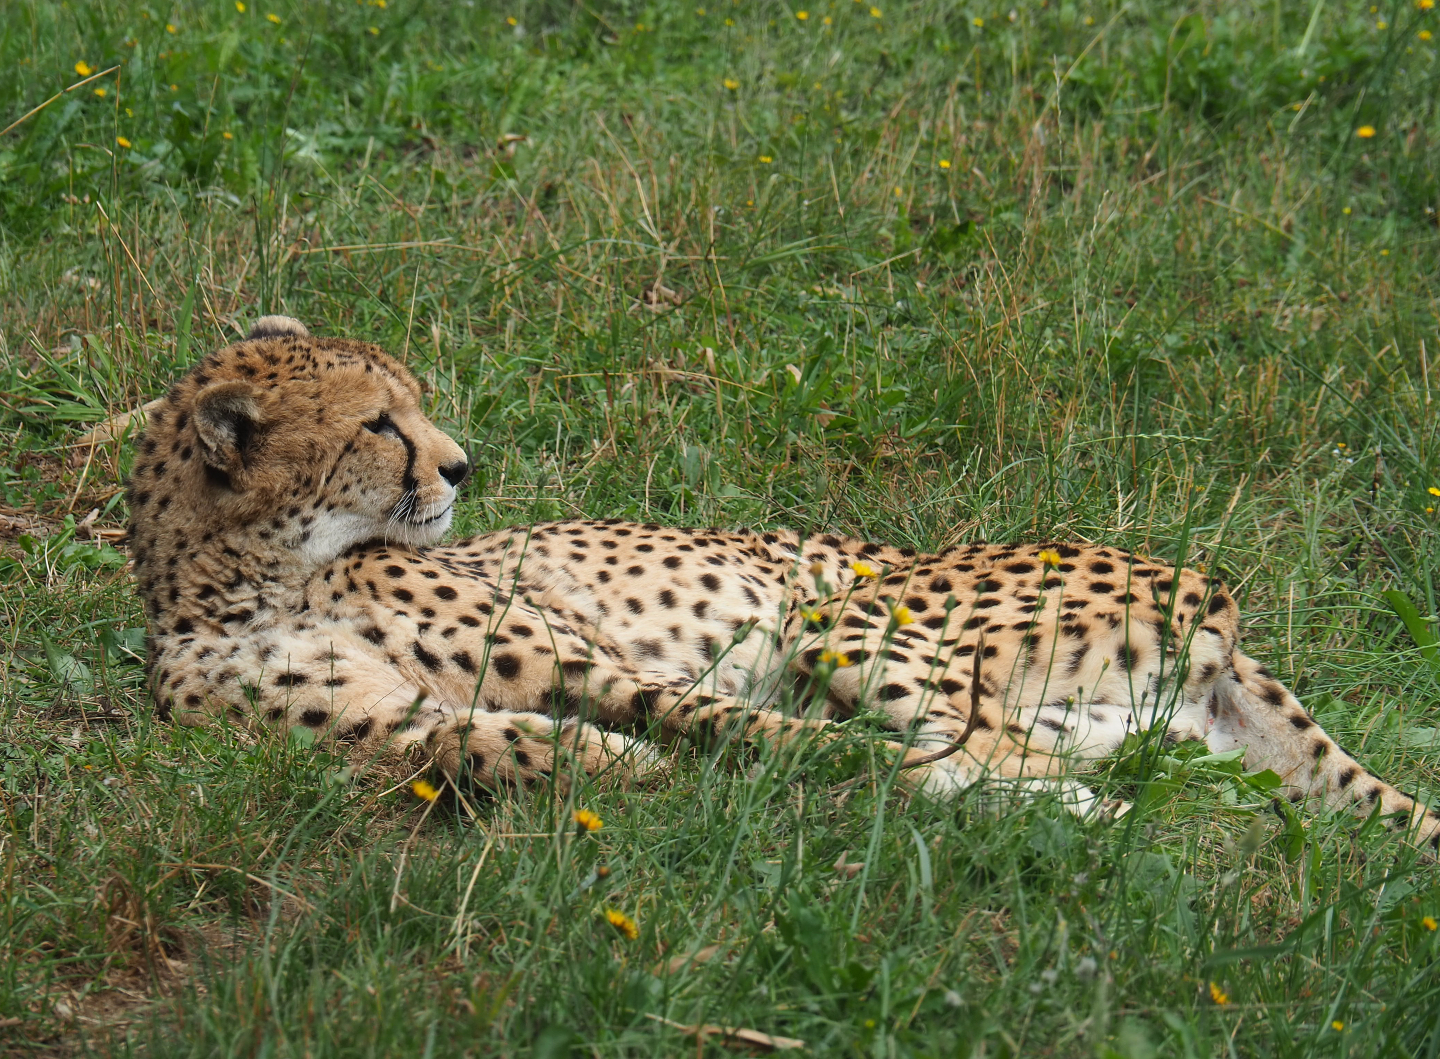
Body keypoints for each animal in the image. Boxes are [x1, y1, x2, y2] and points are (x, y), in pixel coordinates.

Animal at [126, 315, 1440, 850]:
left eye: (414, 405)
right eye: (377, 424)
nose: (460, 466)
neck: (267, 573)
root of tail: (1210, 592)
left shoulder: (587, 656)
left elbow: (731, 721)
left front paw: (777, 765)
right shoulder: (378, 730)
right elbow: (484, 741)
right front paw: (616, 767)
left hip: (844, 615)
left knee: (990, 744)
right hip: (1120, 722)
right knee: (1070, 764)